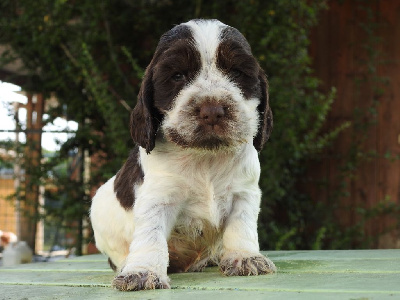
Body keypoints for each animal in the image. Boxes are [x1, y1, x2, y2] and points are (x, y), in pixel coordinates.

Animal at [90, 18, 276, 290]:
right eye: (178, 76)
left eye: (236, 73)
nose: (212, 111)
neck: (205, 157)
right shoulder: (158, 198)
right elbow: (151, 235)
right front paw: (143, 271)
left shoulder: (244, 192)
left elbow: (241, 226)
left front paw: (244, 257)